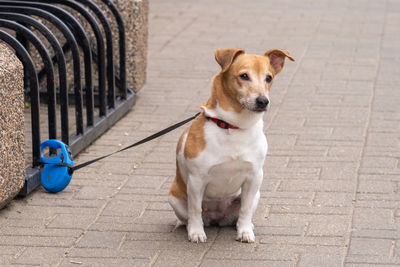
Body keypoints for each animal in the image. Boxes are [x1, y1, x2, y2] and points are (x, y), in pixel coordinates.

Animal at [168, 48, 294, 243]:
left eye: (269, 78)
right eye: (244, 76)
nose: (263, 101)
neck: (233, 127)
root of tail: (216, 218)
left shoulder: (254, 177)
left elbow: (245, 209)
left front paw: (245, 231)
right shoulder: (196, 180)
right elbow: (195, 209)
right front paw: (196, 232)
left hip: (256, 194)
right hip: (175, 198)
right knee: (190, 215)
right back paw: (187, 225)